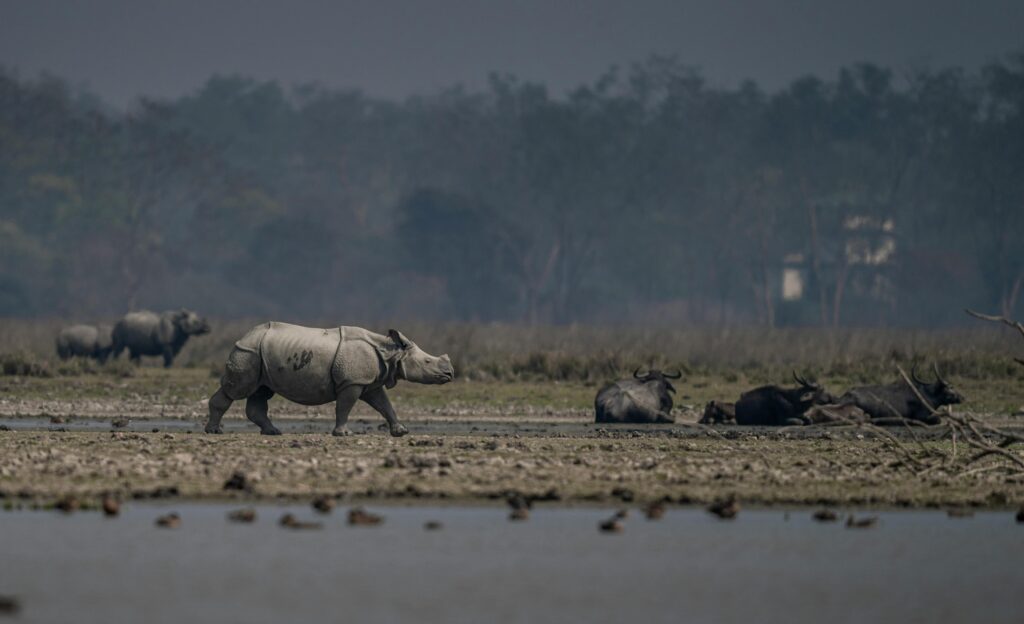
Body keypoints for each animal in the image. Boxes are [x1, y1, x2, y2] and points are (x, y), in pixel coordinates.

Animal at [204, 322, 454, 436]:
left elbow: (385, 405)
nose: (450, 374)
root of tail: (245, 335)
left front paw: (401, 431)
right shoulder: (352, 382)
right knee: (236, 390)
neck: (390, 352)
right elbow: (345, 406)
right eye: (428, 362)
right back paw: (214, 431)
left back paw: (273, 432)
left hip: (260, 355)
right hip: (248, 352)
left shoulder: (368, 382)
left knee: (261, 391)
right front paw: (343, 434)